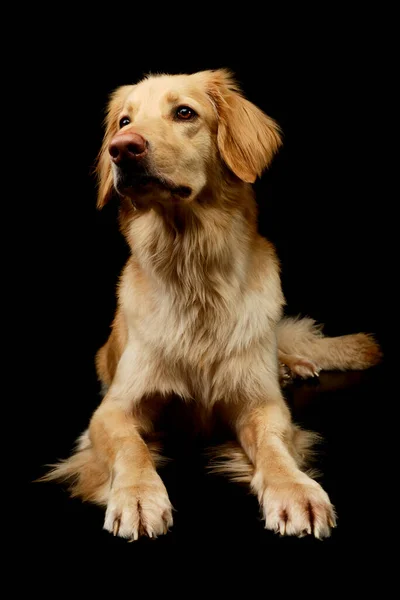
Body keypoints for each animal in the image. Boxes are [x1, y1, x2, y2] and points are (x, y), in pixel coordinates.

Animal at [43, 69, 382, 540]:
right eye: (125, 122)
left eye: (185, 112)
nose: (122, 149)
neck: (193, 273)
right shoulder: (111, 410)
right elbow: (132, 447)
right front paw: (137, 495)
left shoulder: (262, 406)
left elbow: (275, 448)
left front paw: (295, 491)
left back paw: (292, 365)